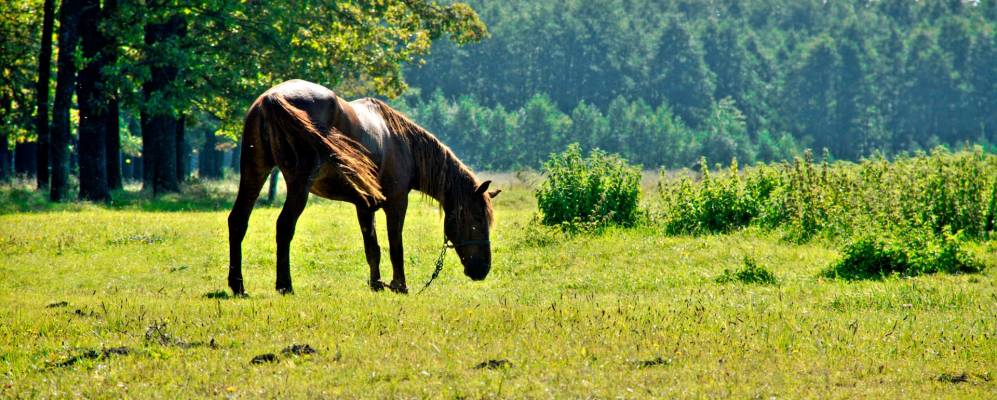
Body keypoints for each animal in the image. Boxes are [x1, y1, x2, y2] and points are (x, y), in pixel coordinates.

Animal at [226, 79, 498, 296]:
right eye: (477, 218)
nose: (483, 270)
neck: (403, 144)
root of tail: (272, 98)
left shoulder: (364, 206)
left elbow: (373, 247)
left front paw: (376, 284)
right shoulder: (397, 203)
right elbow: (395, 245)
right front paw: (399, 286)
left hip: (254, 173)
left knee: (238, 221)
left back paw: (238, 285)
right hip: (298, 186)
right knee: (284, 227)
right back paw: (285, 285)